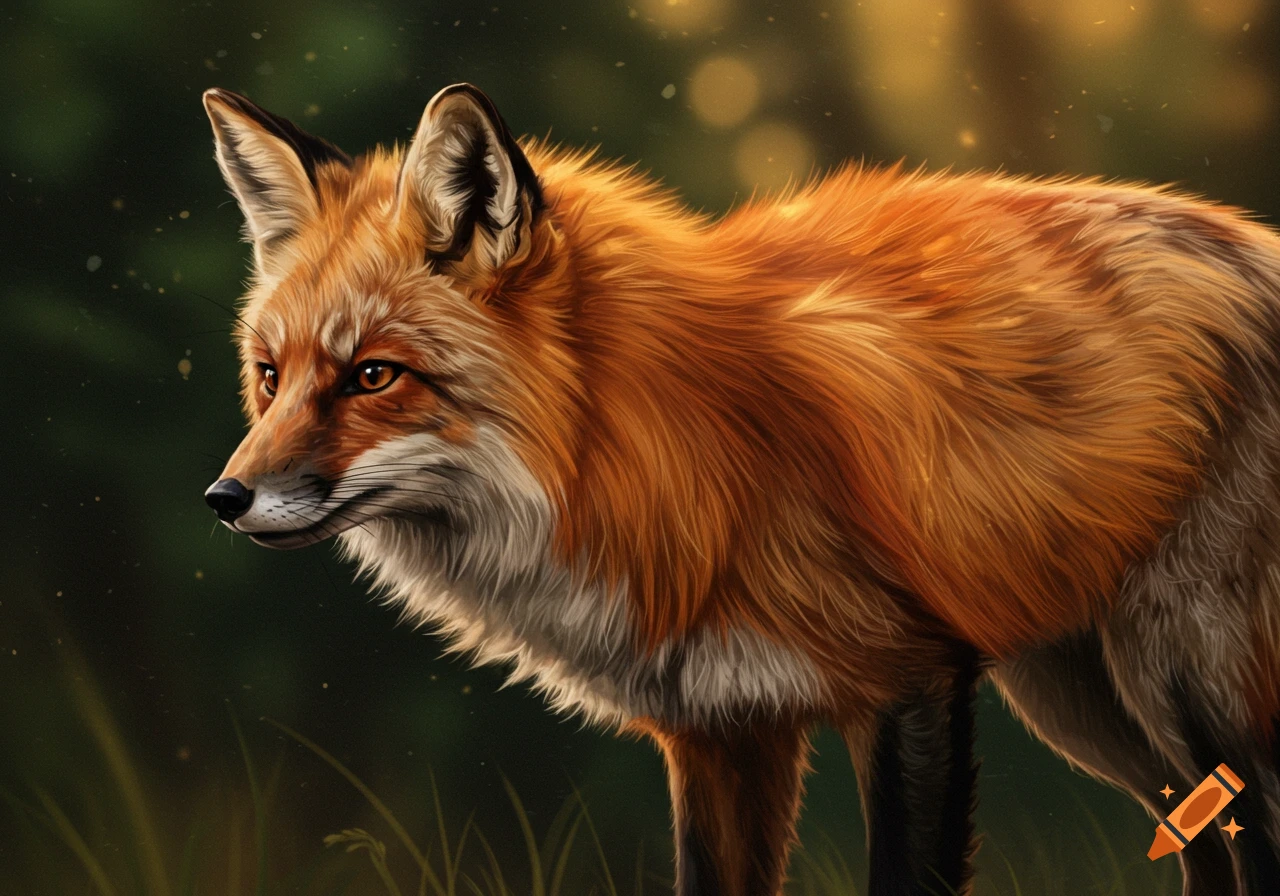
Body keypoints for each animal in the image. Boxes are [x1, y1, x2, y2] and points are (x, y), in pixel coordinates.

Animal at [201, 83, 1280, 895]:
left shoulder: (910, 678)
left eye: (373, 375)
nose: (224, 497)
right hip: (1086, 704)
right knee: (1204, 847)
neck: (647, 449)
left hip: (1192, 687)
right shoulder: (719, 726)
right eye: (269, 375)